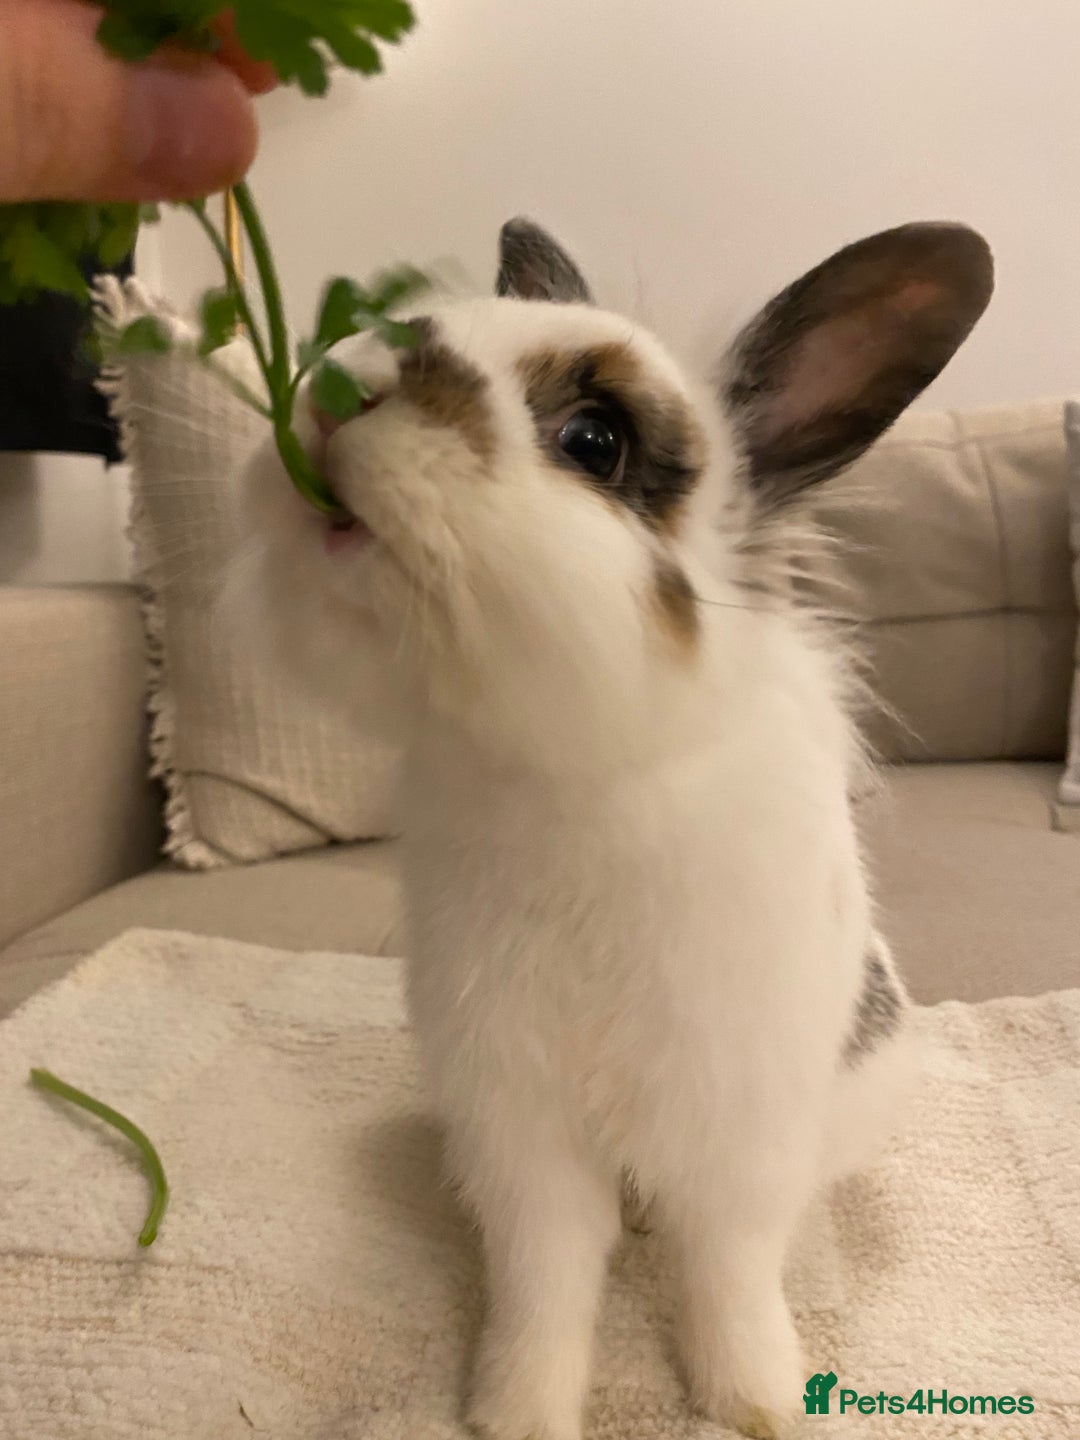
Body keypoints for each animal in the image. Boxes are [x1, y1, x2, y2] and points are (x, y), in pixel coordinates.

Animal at [235, 216, 993, 1439]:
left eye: (593, 441)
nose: (340, 393)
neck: (575, 764)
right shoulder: (516, 1126)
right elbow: (545, 1279)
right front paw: (515, 1408)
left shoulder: (737, 1124)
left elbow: (729, 1270)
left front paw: (752, 1398)